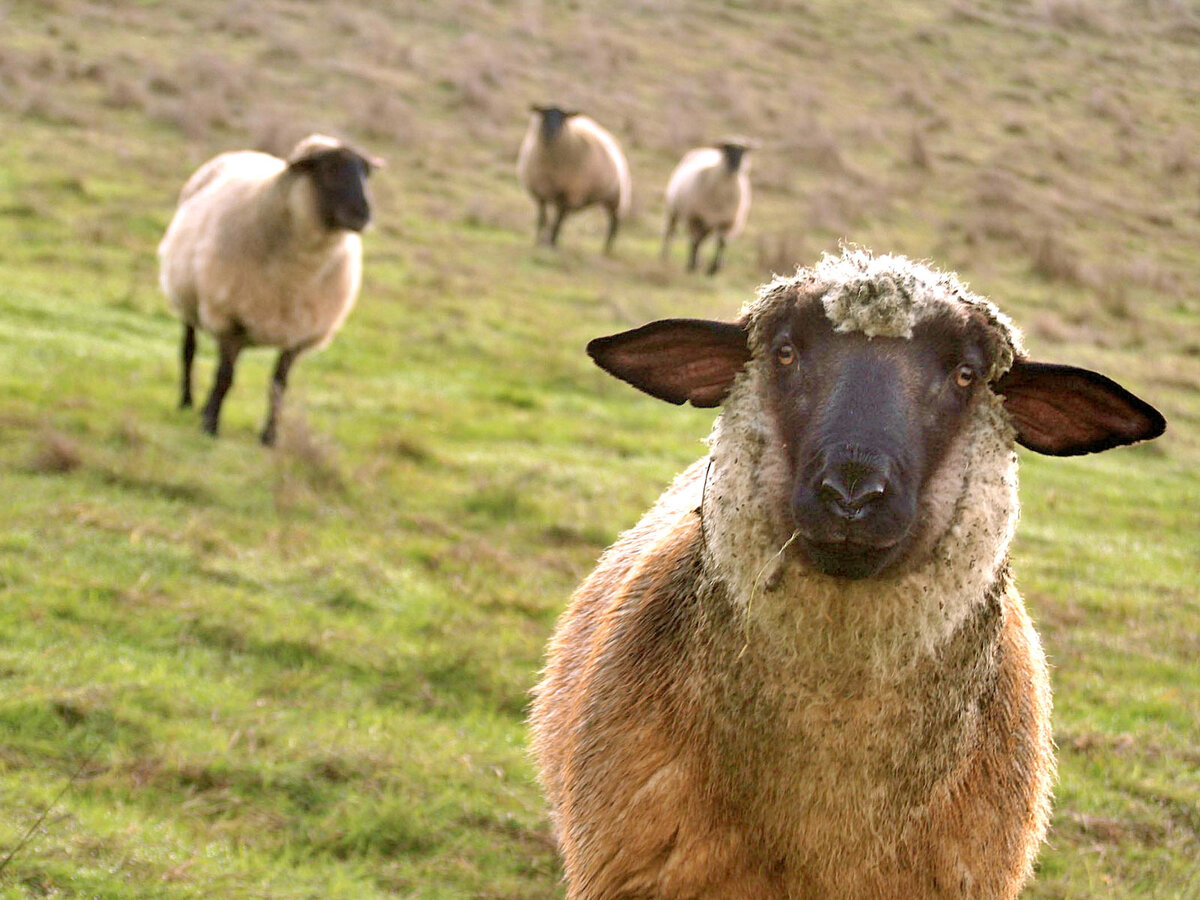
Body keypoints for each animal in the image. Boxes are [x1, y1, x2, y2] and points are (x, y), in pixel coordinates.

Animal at [157, 131, 376, 448]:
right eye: (328, 168)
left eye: (365, 173)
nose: (363, 214)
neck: (297, 271)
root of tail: (245, 152)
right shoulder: (230, 318)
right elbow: (225, 376)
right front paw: (211, 426)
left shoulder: (298, 332)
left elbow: (278, 386)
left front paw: (269, 437)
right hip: (188, 301)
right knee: (188, 350)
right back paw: (187, 401)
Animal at [513, 105, 633, 255]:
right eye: (544, 115)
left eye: (563, 118)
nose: (551, 132)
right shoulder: (541, 192)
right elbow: (543, 219)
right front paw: (539, 242)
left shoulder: (568, 194)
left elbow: (557, 222)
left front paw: (551, 244)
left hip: (615, 198)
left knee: (613, 224)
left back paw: (606, 250)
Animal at [662, 138, 753, 274]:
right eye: (726, 150)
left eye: (742, 152)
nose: (735, 167)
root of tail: (707, 150)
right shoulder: (695, 217)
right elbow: (695, 241)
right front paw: (692, 265)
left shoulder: (728, 222)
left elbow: (722, 243)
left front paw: (714, 268)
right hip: (674, 209)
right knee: (671, 232)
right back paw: (665, 255)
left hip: (707, 223)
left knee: (702, 239)